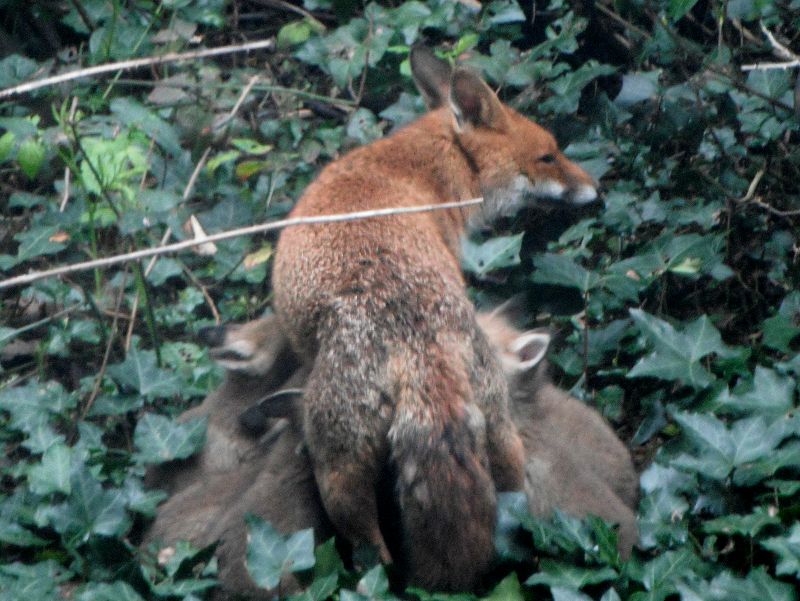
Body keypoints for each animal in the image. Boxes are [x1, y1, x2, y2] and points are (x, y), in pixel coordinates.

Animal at [272, 47, 596, 592]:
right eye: (549, 156)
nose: (597, 188)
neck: (429, 174)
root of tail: (416, 341)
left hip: (336, 468)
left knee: (375, 554)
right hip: (497, 433)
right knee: (509, 505)